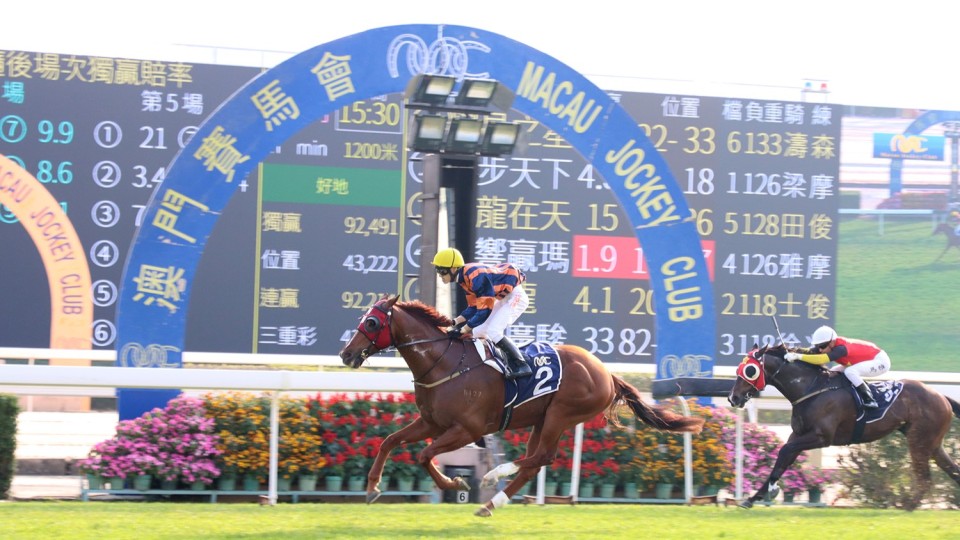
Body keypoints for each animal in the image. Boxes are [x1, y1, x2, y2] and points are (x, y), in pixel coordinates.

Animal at [338, 294, 704, 517]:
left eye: (372, 323)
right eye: (363, 318)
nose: (346, 354)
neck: (445, 363)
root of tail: (606, 372)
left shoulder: (467, 429)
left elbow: (425, 455)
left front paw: (456, 485)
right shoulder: (432, 422)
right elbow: (390, 441)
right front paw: (372, 488)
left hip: (560, 414)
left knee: (543, 457)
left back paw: (493, 478)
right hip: (542, 419)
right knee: (534, 463)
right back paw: (491, 503)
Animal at [727, 343, 960, 510]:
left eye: (749, 370)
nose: (733, 398)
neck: (812, 388)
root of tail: (942, 397)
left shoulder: (821, 437)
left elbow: (784, 452)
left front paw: (773, 490)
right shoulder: (798, 435)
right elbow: (782, 460)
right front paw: (752, 498)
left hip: (919, 442)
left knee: (925, 479)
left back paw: (908, 506)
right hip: (933, 444)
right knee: (953, 471)